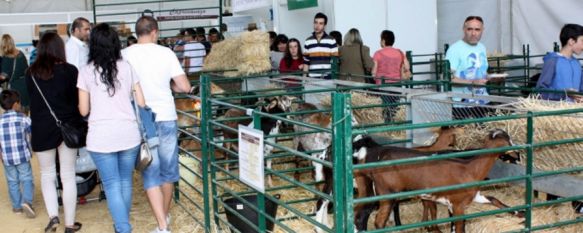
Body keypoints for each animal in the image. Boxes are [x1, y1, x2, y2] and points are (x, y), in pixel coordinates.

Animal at [358, 129, 524, 233]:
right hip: (386, 194)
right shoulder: (457, 205)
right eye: (509, 140)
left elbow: (495, 200)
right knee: (378, 221)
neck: (470, 169)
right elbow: (459, 228)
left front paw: (520, 213)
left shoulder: (469, 198)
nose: (518, 153)